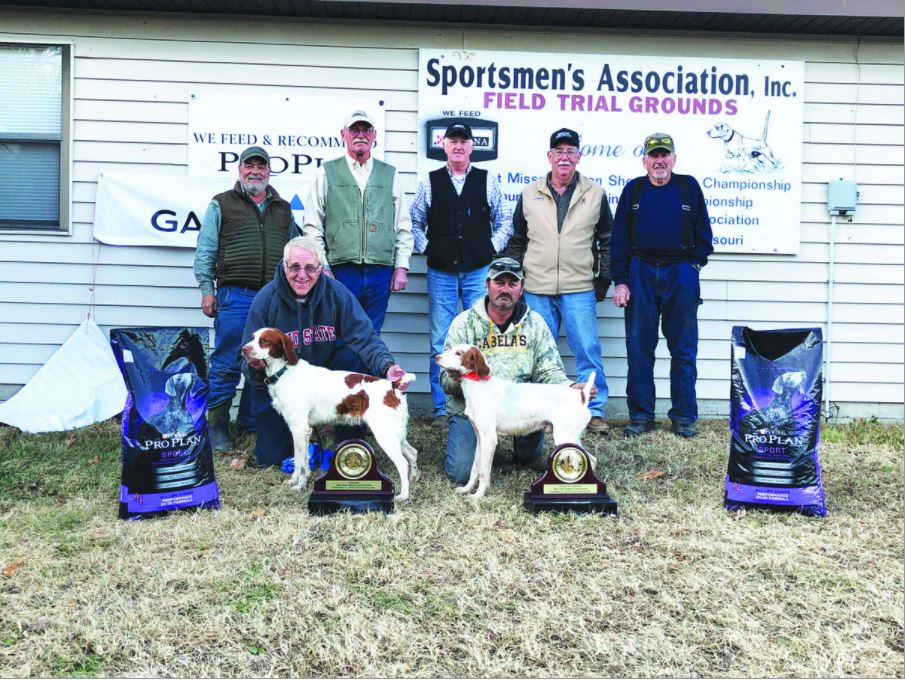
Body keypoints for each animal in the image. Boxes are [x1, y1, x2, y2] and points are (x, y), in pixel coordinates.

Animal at [244, 326, 420, 502]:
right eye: (252, 337)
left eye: (265, 341)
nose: (243, 349)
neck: (285, 371)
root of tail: (393, 386)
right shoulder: (301, 429)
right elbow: (302, 461)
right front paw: (295, 481)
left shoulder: (300, 429)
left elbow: (300, 461)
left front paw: (299, 486)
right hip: (395, 433)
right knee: (412, 453)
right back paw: (414, 477)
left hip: (385, 434)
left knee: (402, 463)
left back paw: (403, 495)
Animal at [436, 346, 596, 500]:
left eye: (458, 353)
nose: (437, 357)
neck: (478, 386)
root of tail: (581, 396)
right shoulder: (480, 438)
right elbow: (475, 469)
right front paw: (466, 489)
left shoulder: (489, 438)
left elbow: (483, 471)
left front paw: (478, 495)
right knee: (591, 460)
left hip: (565, 438)